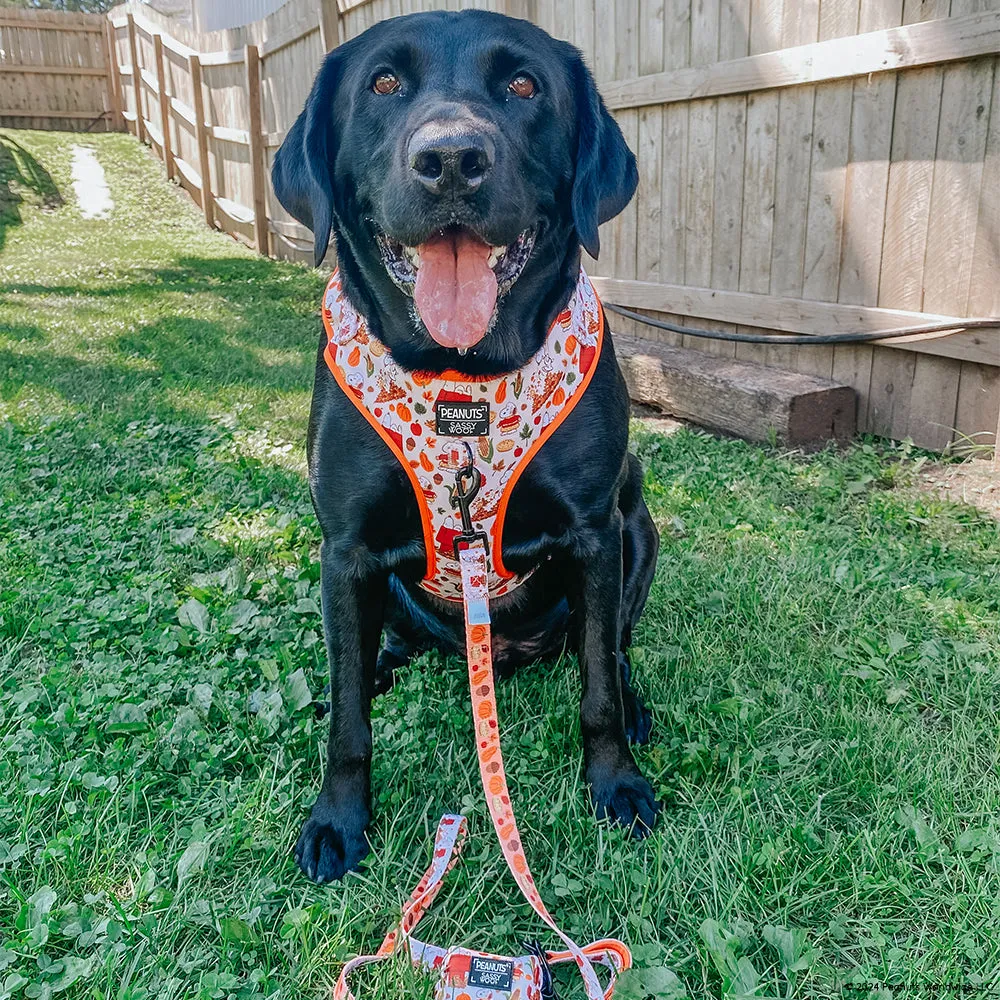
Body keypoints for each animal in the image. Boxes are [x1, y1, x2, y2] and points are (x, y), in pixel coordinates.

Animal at [274, 7, 664, 884]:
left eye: (522, 84)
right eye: (383, 82)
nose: (451, 159)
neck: (463, 378)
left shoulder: (597, 531)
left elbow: (595, 687)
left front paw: (616, 782)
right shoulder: (344, 548)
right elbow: (346, 718)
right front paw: (338, 818)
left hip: (640, 532)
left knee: (613, 647)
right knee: (374, 651)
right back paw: (383, 666)